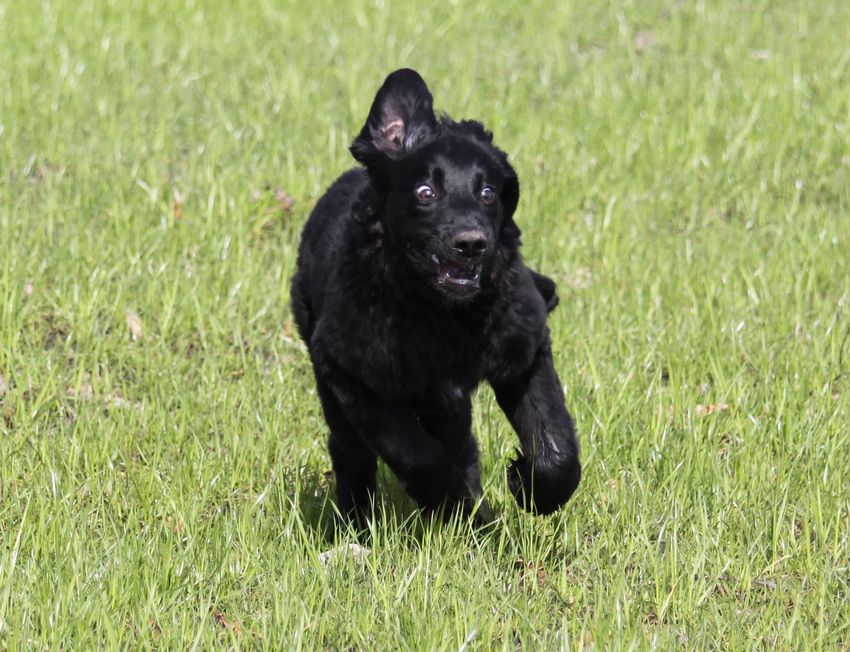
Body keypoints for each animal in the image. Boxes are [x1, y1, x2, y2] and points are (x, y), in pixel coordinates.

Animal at [291, 69, 580, 523]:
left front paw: (531, 488)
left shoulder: (525, 352)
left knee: (463, 446)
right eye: (425, 192)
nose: (472, 243)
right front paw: (449, 500)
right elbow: (414, 453)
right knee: (351, 452)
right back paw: (358, 522)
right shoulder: (350, 374)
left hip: (447, 404)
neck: (443, 315)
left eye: (488, 193)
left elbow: (555, 441)